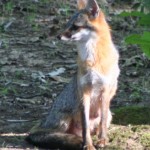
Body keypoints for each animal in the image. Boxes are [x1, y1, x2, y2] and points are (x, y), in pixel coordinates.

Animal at [25, 0, 119, 149]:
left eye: (75, 26)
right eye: (67, 25)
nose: (58, 36)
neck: (93, 60)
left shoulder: (106, 91)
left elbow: (102, 123)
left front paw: (102, 140)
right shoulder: (83, 91)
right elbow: (85, 126)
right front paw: (88, 145)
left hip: (109, 114)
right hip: (64, 120)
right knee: (44, 133)